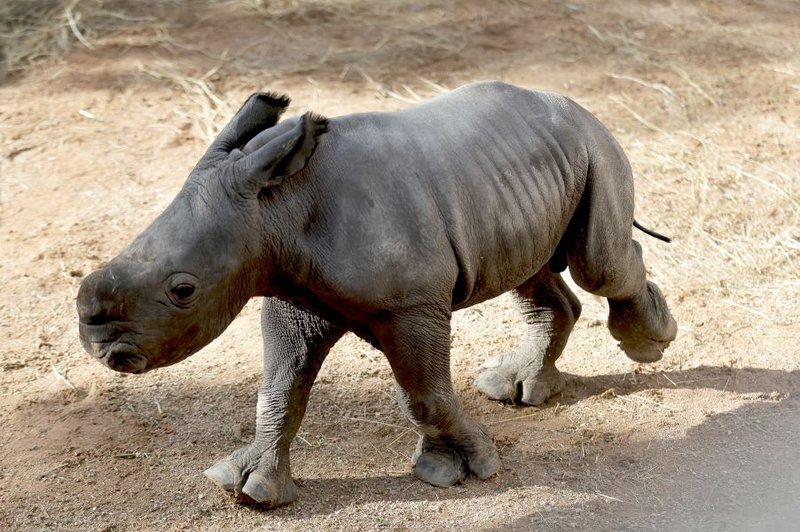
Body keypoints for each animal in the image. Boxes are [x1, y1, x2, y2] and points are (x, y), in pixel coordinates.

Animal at [77, 81, 677, 507]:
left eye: (184, 290)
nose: (97, 341)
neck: (276, 208)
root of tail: (579, 107)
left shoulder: (410, 306)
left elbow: (423, 394)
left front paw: (460, 471)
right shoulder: (291, 297)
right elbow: (279, 387)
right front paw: (247, 485)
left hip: (593, 149)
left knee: (598, 267)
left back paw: (649, 343)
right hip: (522, 172)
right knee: (530, 274)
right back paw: (515, 388)